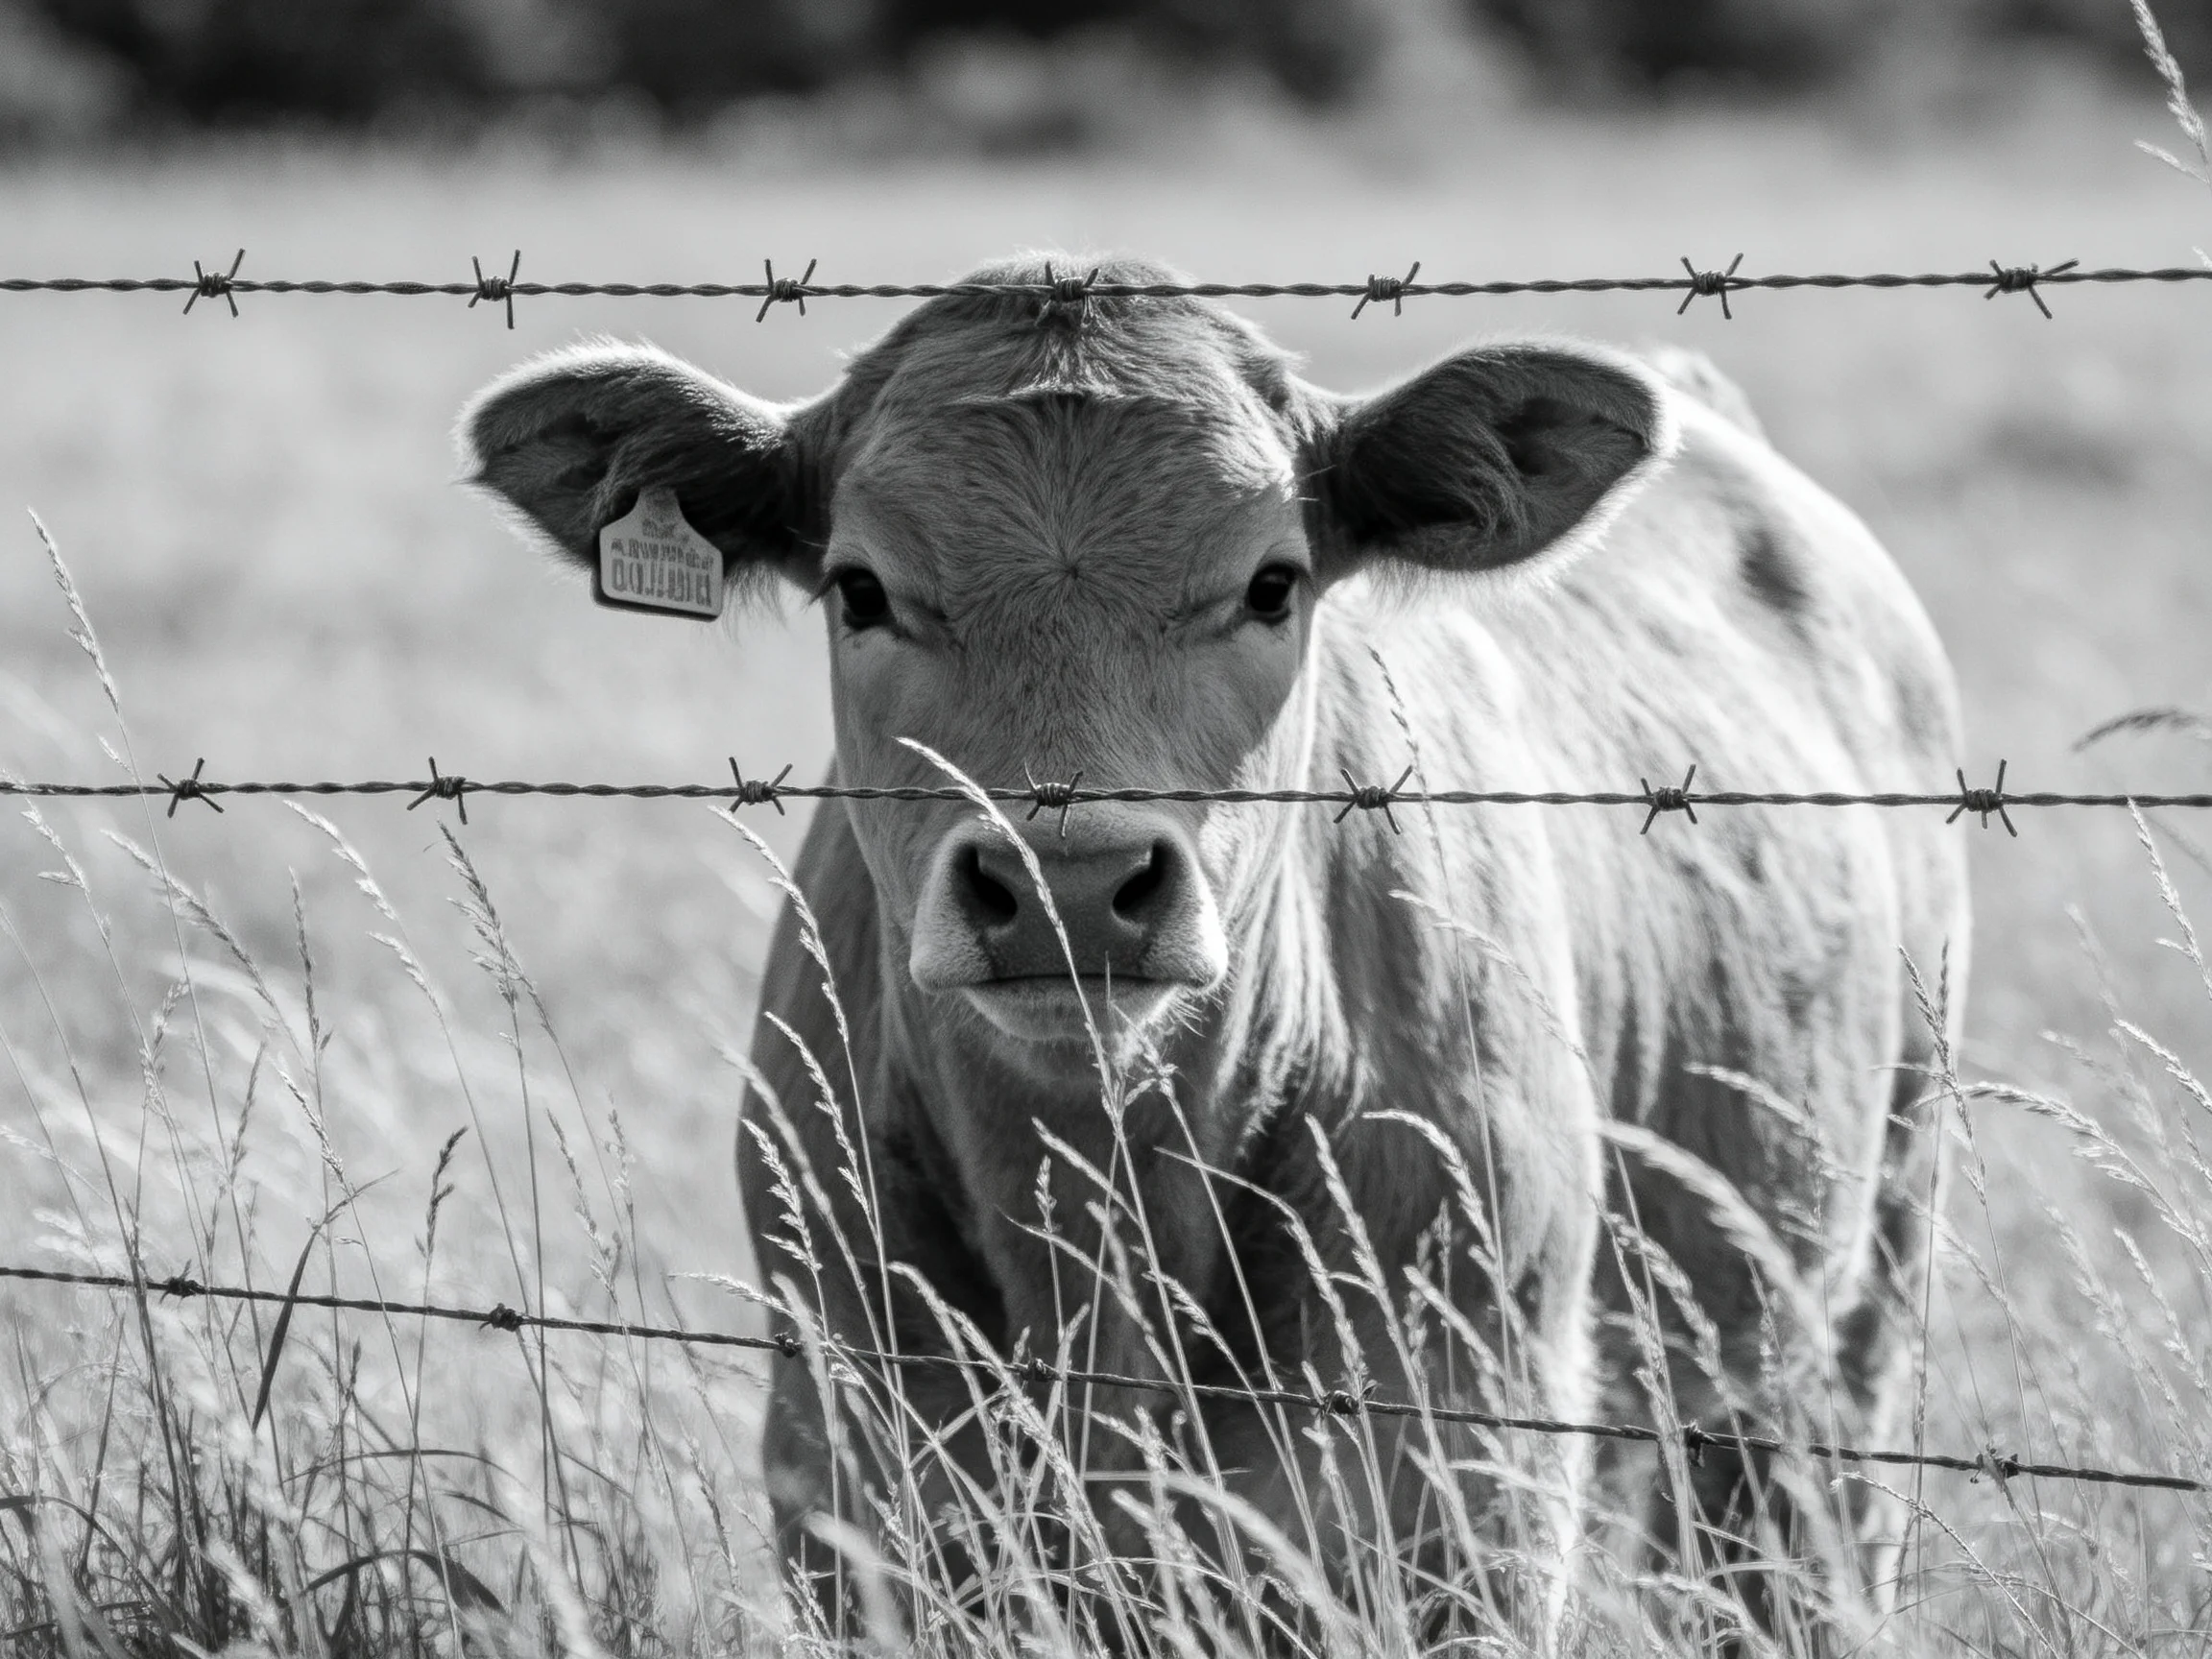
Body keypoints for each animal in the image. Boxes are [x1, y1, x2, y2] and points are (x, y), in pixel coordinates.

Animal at [459, 255, 1969, 1648]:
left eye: (1272, 583)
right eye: (860, 589)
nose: (1066, 883)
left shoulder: (1466, 1460)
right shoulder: (855, 1463)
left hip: (1855, 1290)